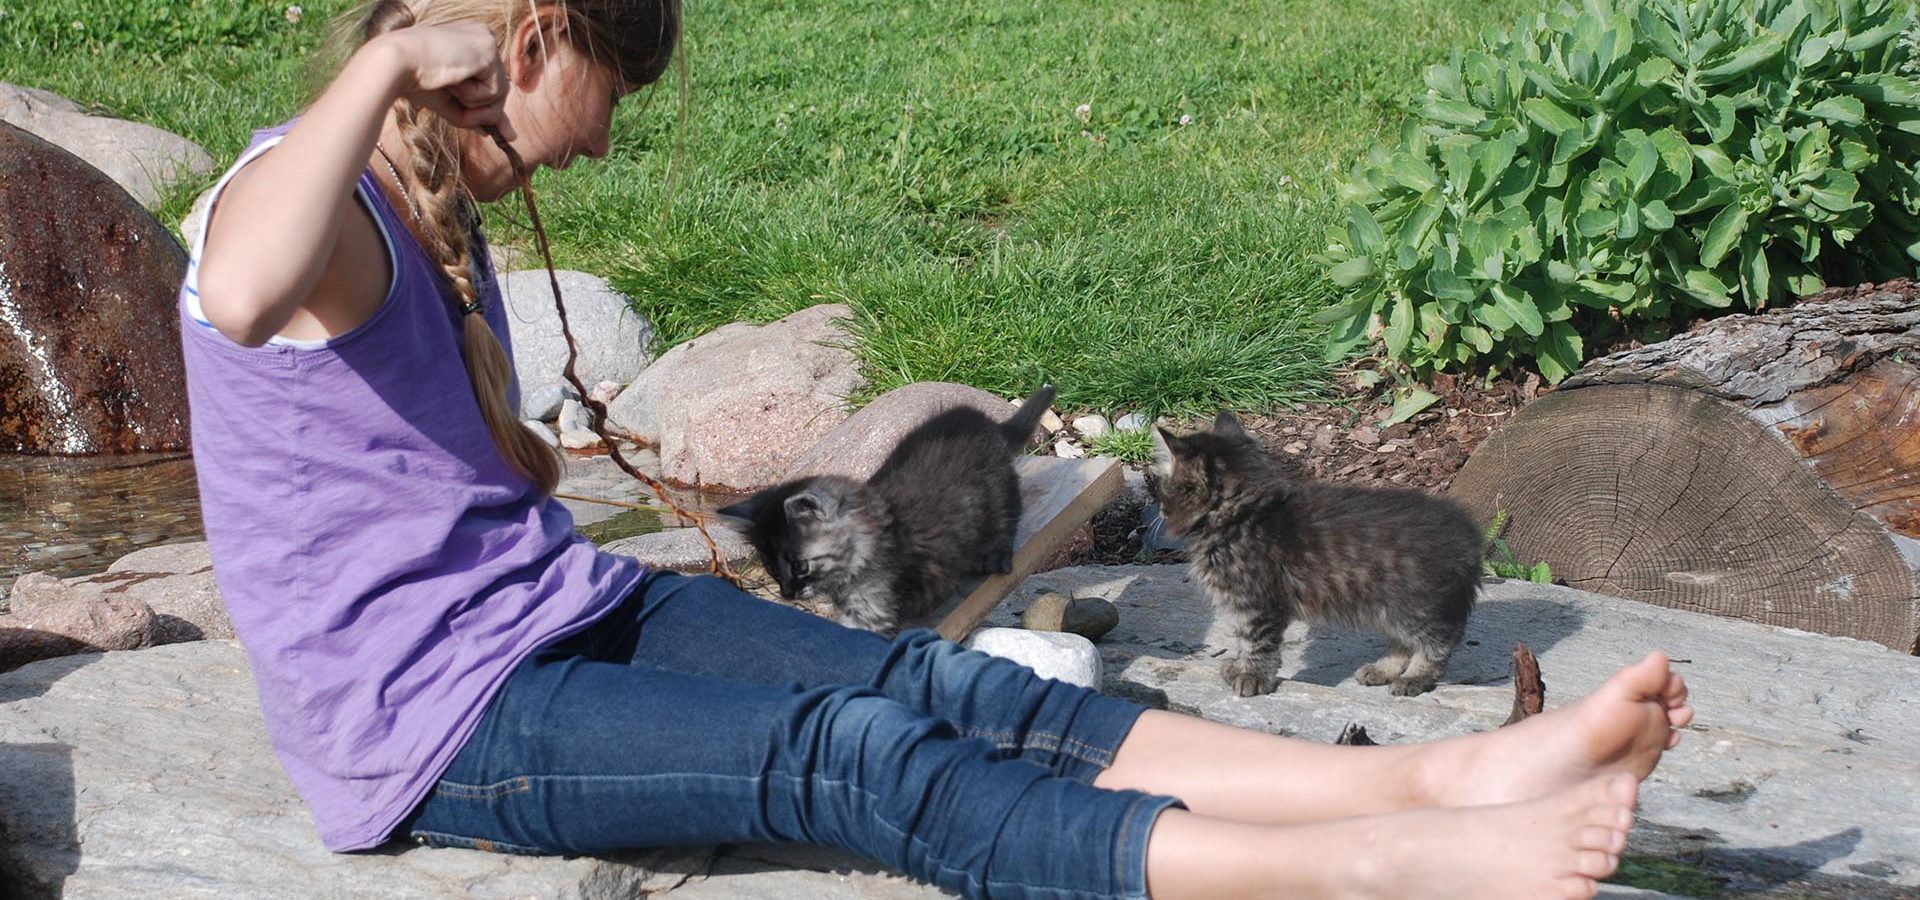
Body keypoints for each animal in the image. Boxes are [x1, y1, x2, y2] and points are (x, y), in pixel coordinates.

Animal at [721, 383, 1059, 633]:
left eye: (800, 566)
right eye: (772, 569)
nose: (787, 594)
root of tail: (990, 425)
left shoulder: (876, 605)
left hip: (996, 490)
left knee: (1008, 516)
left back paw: (994, 555)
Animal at [1152, 410, 1482, 698]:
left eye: (1165, 486)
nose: (1159, 509)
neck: (1244, 515)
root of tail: (1469, 533)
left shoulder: (1260, 603)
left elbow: (1256, 643)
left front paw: (1251, 676)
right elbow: (1244, 641)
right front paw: (1239, 668)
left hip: (1417, 606)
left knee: (1439, 642)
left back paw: (1415, 677)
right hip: (1390, 608)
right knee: (1403, 643)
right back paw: (1383, 670)